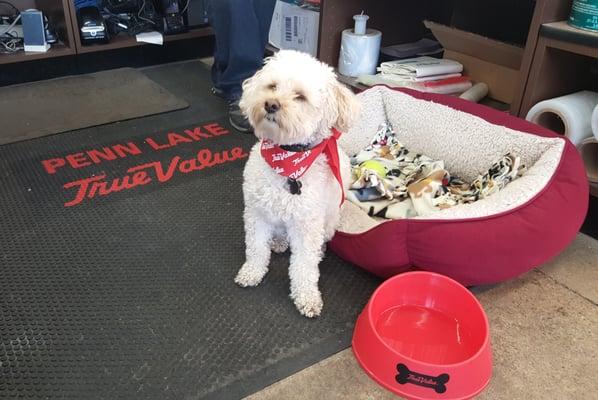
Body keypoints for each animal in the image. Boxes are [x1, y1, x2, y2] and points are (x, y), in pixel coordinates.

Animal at [237, 50, 360, 318]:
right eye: (272, 86)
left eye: (300, 97)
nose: (271, 104)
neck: (287, 160)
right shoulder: (256, 214)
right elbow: (256, 248)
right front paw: (252, 272)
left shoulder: (307, 226)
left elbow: (304, 266)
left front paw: (307, 297)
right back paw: (279, 242)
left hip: (329, 222)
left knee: (319, 243)